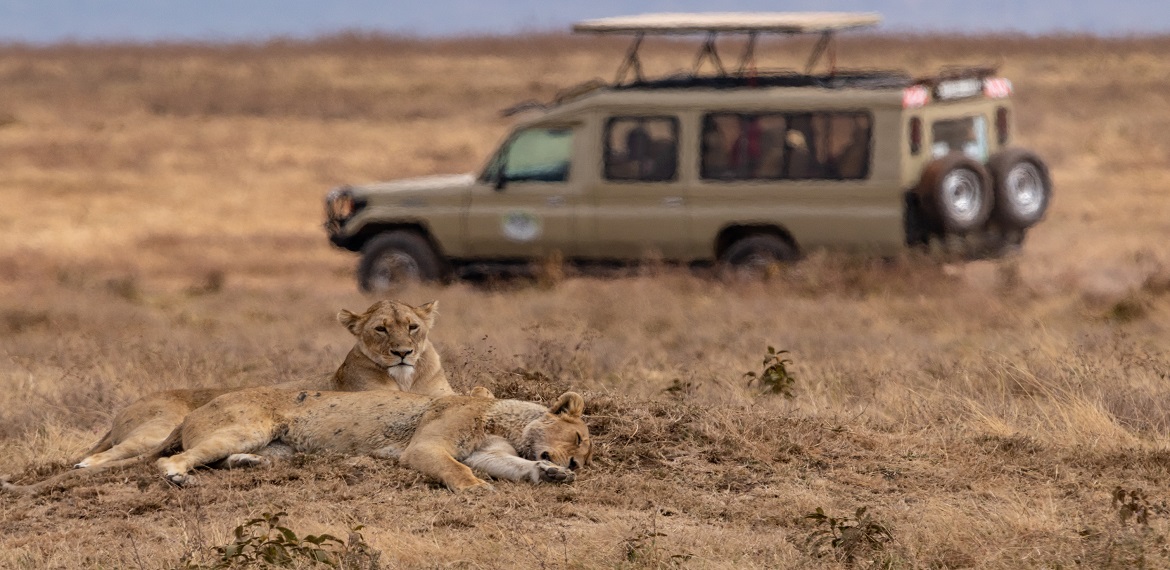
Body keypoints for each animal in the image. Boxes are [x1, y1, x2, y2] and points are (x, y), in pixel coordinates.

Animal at [72, 299, 453, 470]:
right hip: (155, 429)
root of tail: (123, 410)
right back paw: (86, 465)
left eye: (413, 326)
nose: (403, 352)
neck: (406, 379)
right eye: (380, 329)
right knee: (107, 454)